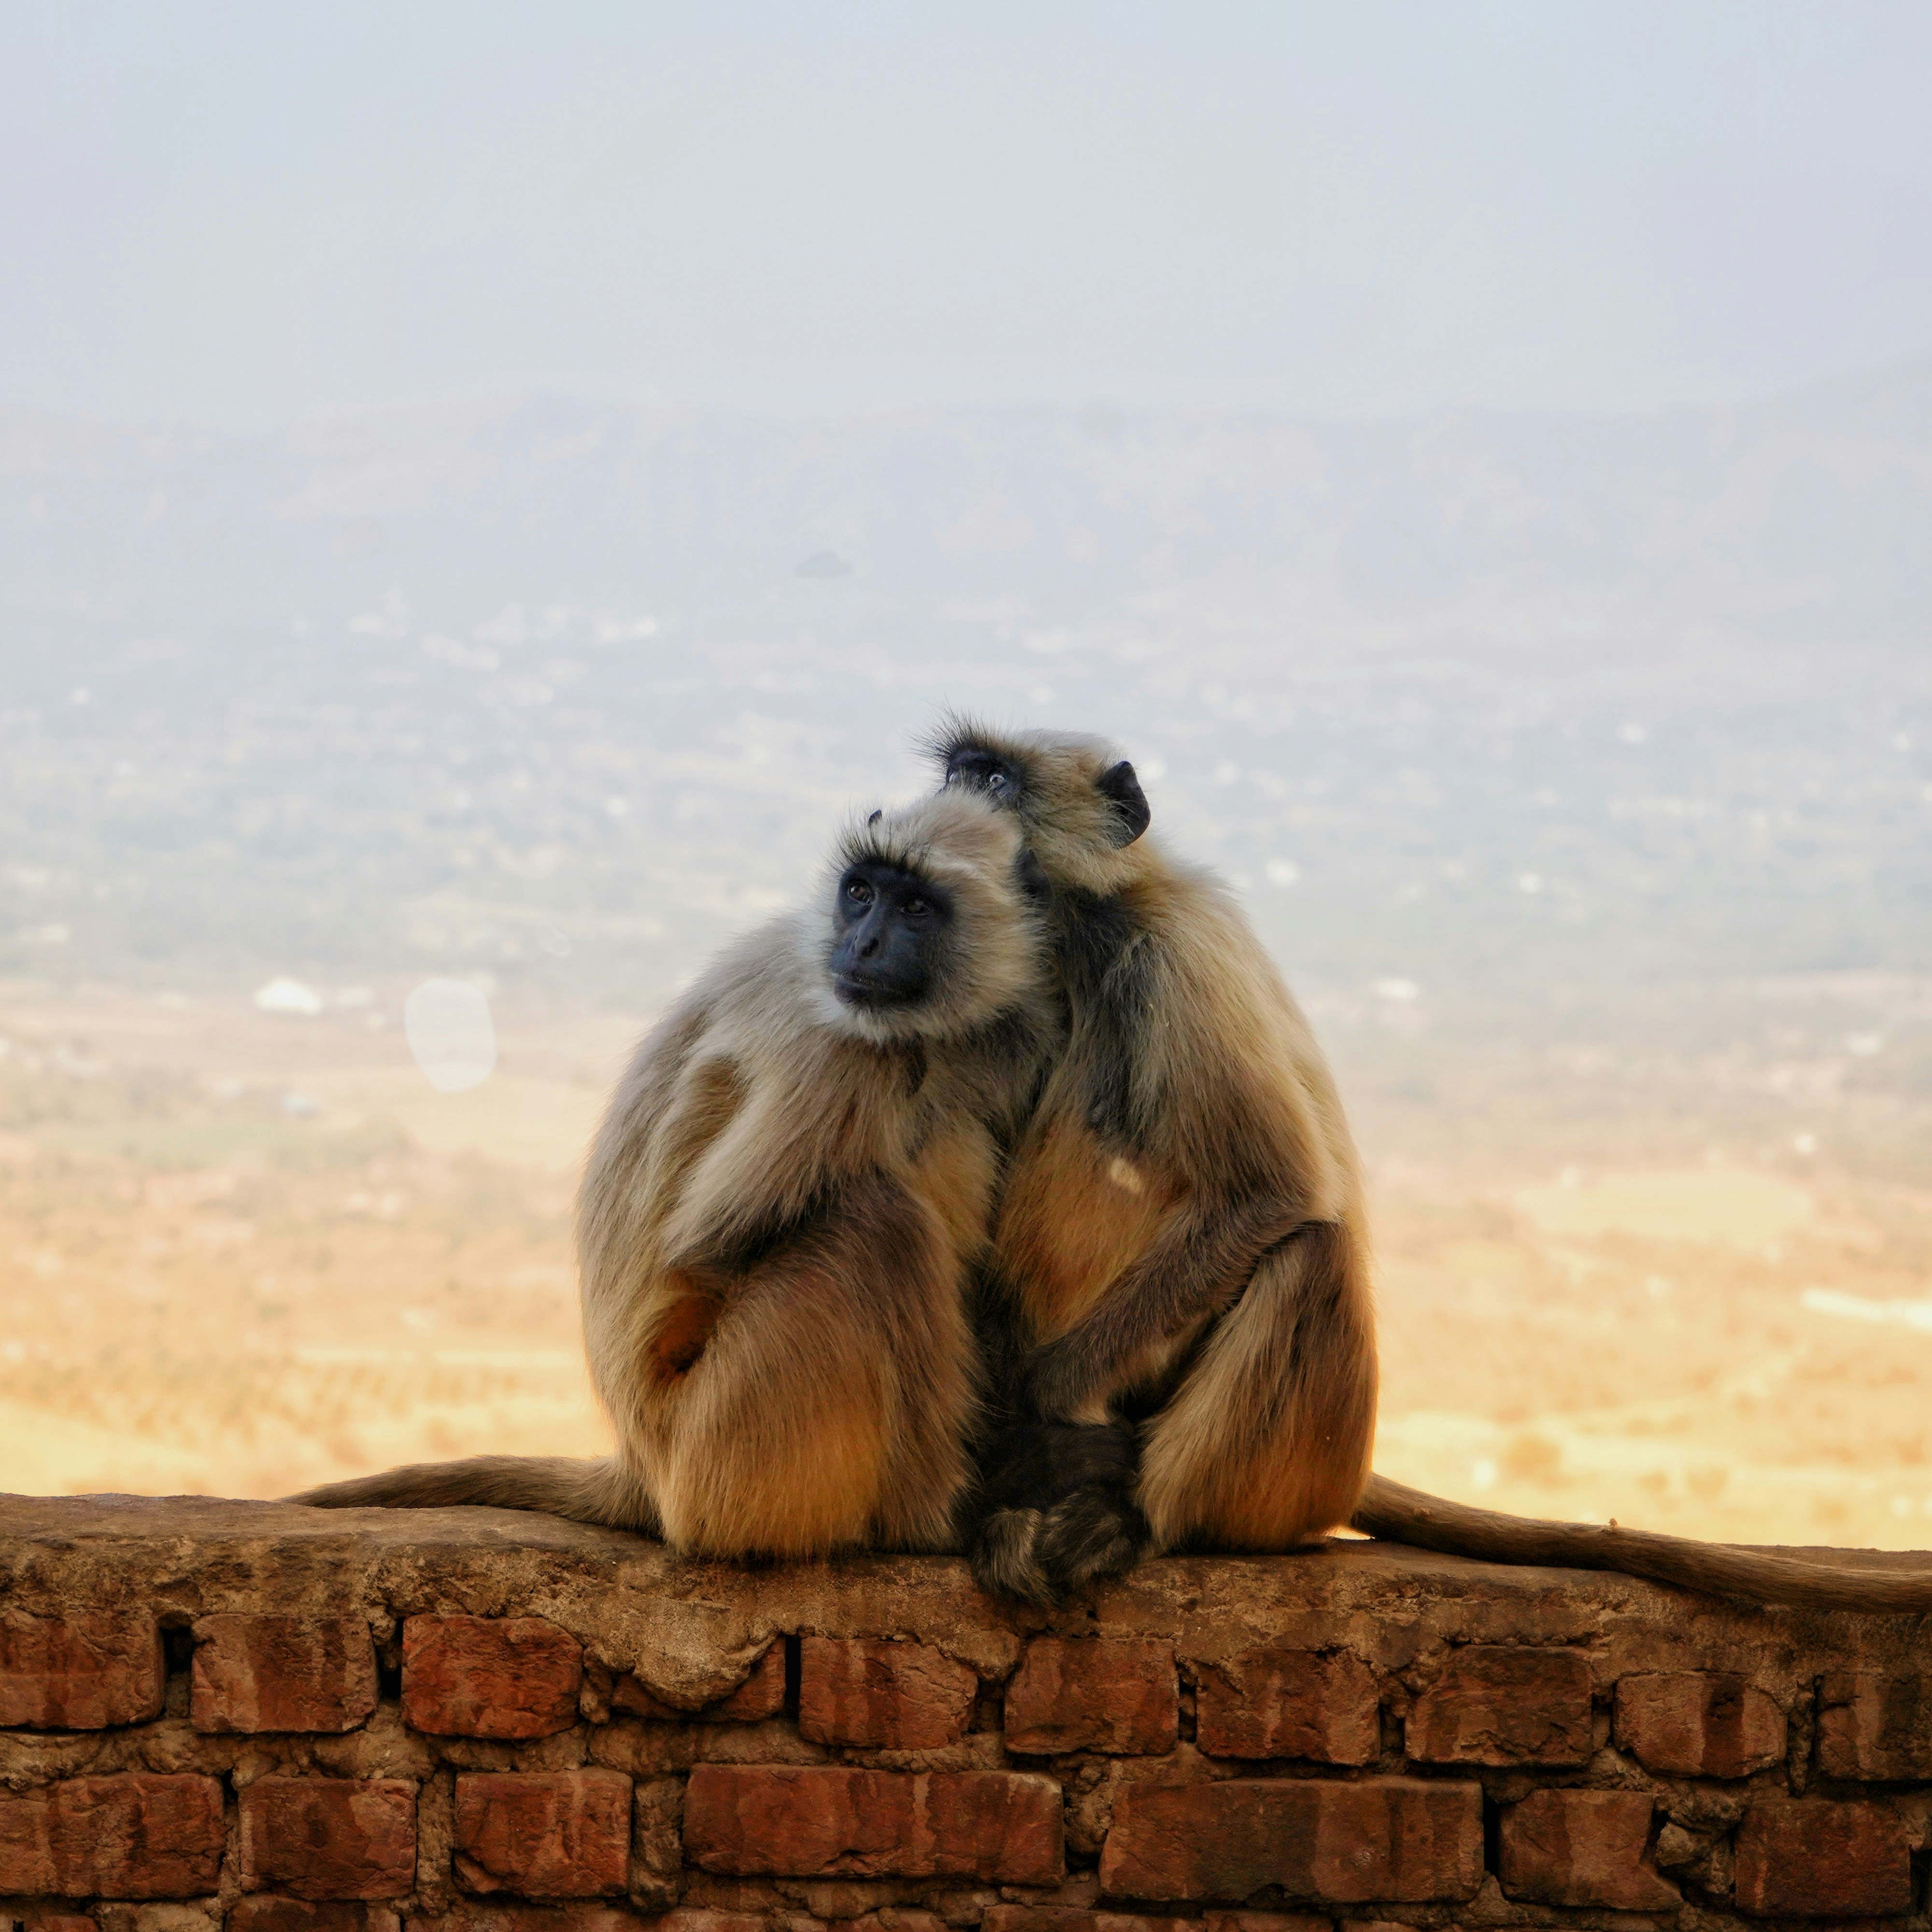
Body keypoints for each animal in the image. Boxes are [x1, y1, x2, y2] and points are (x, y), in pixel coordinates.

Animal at [291, 786, 1057, 1560]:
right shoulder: (837, 1045)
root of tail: (641, 1470)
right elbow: (705, 1246)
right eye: (861, 893)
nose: (862, 944)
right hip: (728, 1445)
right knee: (878, 1225)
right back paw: (928, 1520)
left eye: (917, 908)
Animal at [936, 718, 1932, 1615]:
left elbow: (1274, 1193)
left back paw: (1132, 1520)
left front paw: (1040, 1409)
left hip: (1298, 1465)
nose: (952, 806)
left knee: (1310, 1255)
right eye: (960, 772)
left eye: (994, 781)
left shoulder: (1175, 956)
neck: (1087, 931)